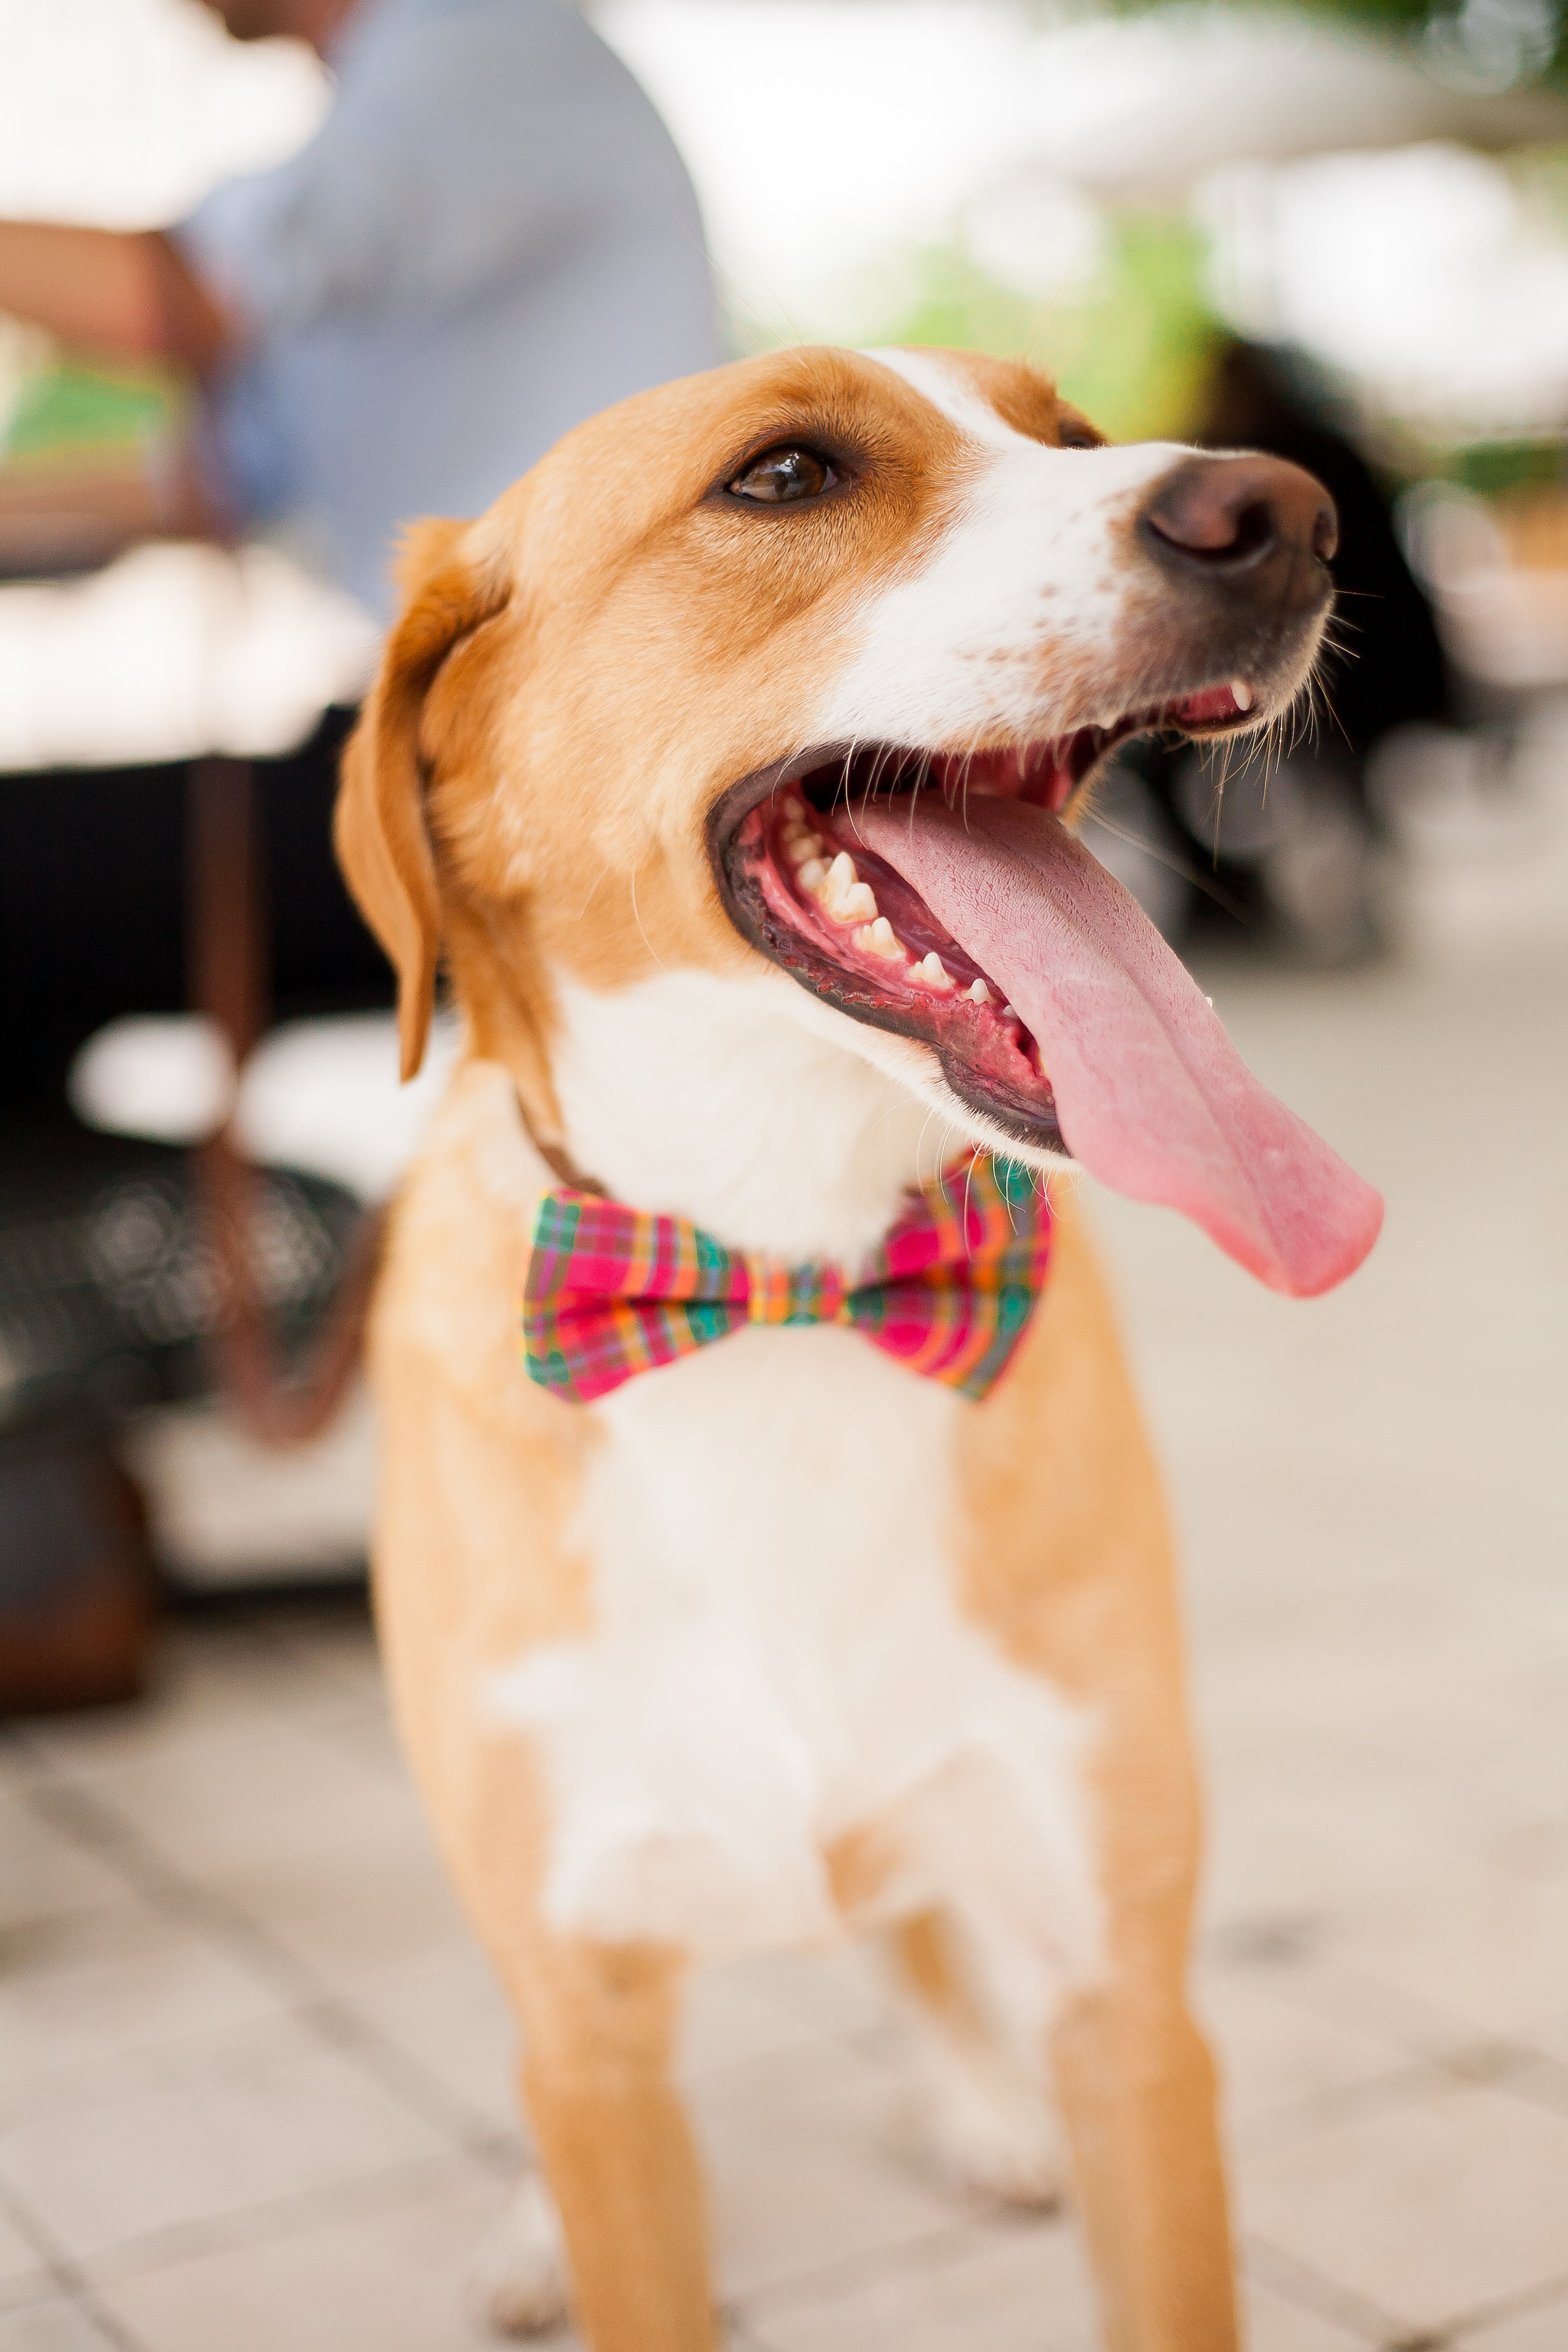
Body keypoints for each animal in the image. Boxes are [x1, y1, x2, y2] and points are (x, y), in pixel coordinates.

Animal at [338, 336, 1382, 2352]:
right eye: (785, 473)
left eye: (1066, 436)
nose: (1283, 511)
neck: (782, 1275)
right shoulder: (594, 2028)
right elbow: (595, 2138)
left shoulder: (1126, 2006)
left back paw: (976, 2109)